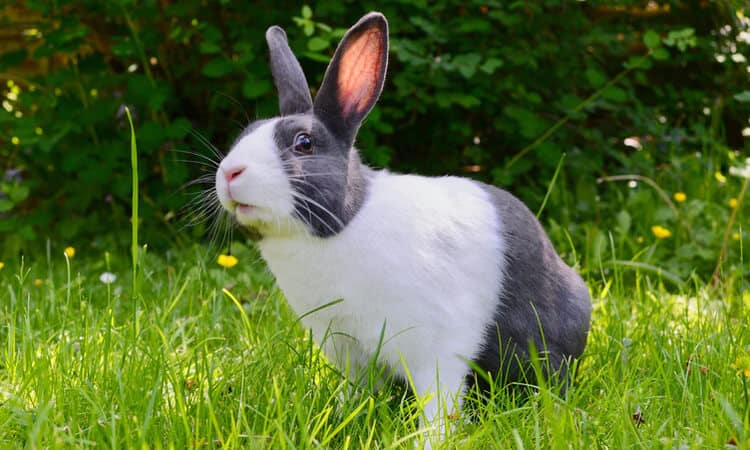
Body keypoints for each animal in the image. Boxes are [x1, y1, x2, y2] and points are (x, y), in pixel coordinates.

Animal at [216, 11, 592, 446]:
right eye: (245, 134)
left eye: (303, 143)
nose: (229, 173)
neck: (344, 225)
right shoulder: (348, 350)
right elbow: (355, 393)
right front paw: (338, 419)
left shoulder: (436, 349)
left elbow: (439, 404)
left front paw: (431, 441)